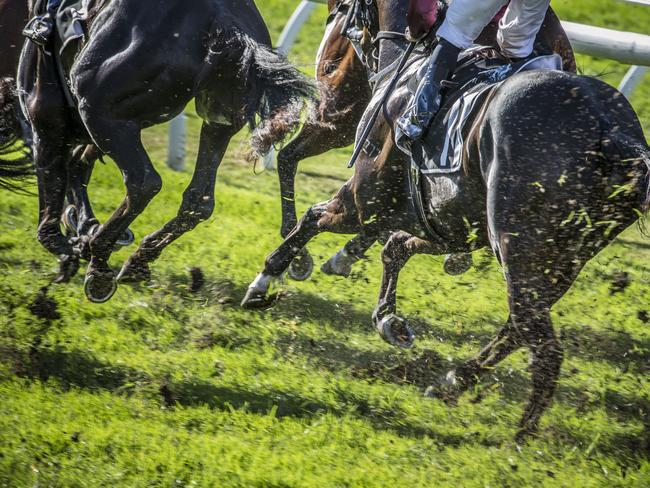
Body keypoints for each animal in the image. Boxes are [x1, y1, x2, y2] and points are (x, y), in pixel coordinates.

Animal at [10, 0, 312, 304]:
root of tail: (223, 19)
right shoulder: (97, 132)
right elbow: (78, 166)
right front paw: (83, 227)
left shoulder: (48, 126)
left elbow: (49, 221)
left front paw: (73, 247)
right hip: (218, 120)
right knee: (198, 201)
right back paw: (138, 260)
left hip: (98, 110)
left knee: (143, 183)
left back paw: (100, 263)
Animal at [243, 0, 648, 436]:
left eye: (343, 11)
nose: (326, 74)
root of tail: (612, 135)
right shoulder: (449, 225)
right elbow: (395, 246)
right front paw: (388, 318)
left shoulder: (364, 200)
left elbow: (313, 219)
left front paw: (265, 281)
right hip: (565, 258)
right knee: (519, 326)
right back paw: (452, 381)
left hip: (519, 248)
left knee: (543, 346)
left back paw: (519, 436)